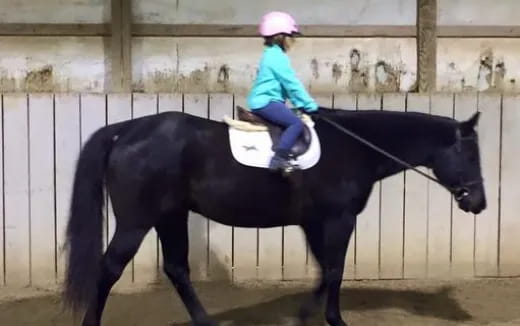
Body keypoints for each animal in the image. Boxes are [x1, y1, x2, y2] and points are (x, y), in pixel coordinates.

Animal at [63, 105, 486, 326]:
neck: (354, 147)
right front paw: (332, 319)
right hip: (137, 221)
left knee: (176, 268)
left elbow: (323, 269)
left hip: (171, 216)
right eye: (469, 153)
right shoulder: (338, 219)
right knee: (110, 268)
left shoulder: (315, 222)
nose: (478, 203)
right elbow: (335, 269)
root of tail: (126, 130)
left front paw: (305, 315)